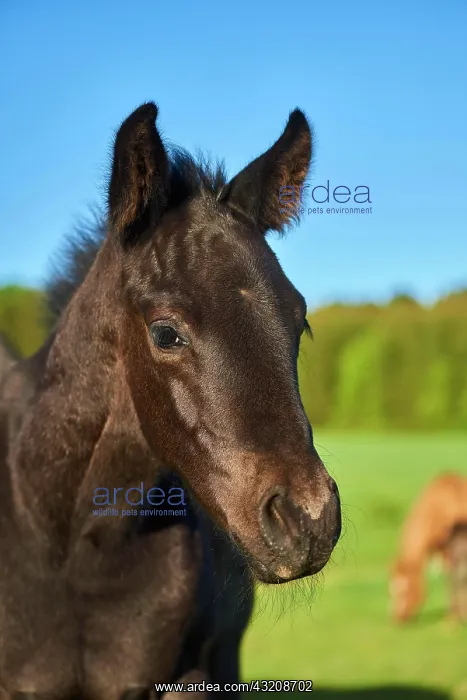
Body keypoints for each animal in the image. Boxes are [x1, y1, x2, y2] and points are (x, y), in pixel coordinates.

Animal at [390, 473, 467, 623]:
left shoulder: (451, 549)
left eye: (402, 591)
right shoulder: (443, 550)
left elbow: (453, 579)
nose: (397, 619)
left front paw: (454, 617)